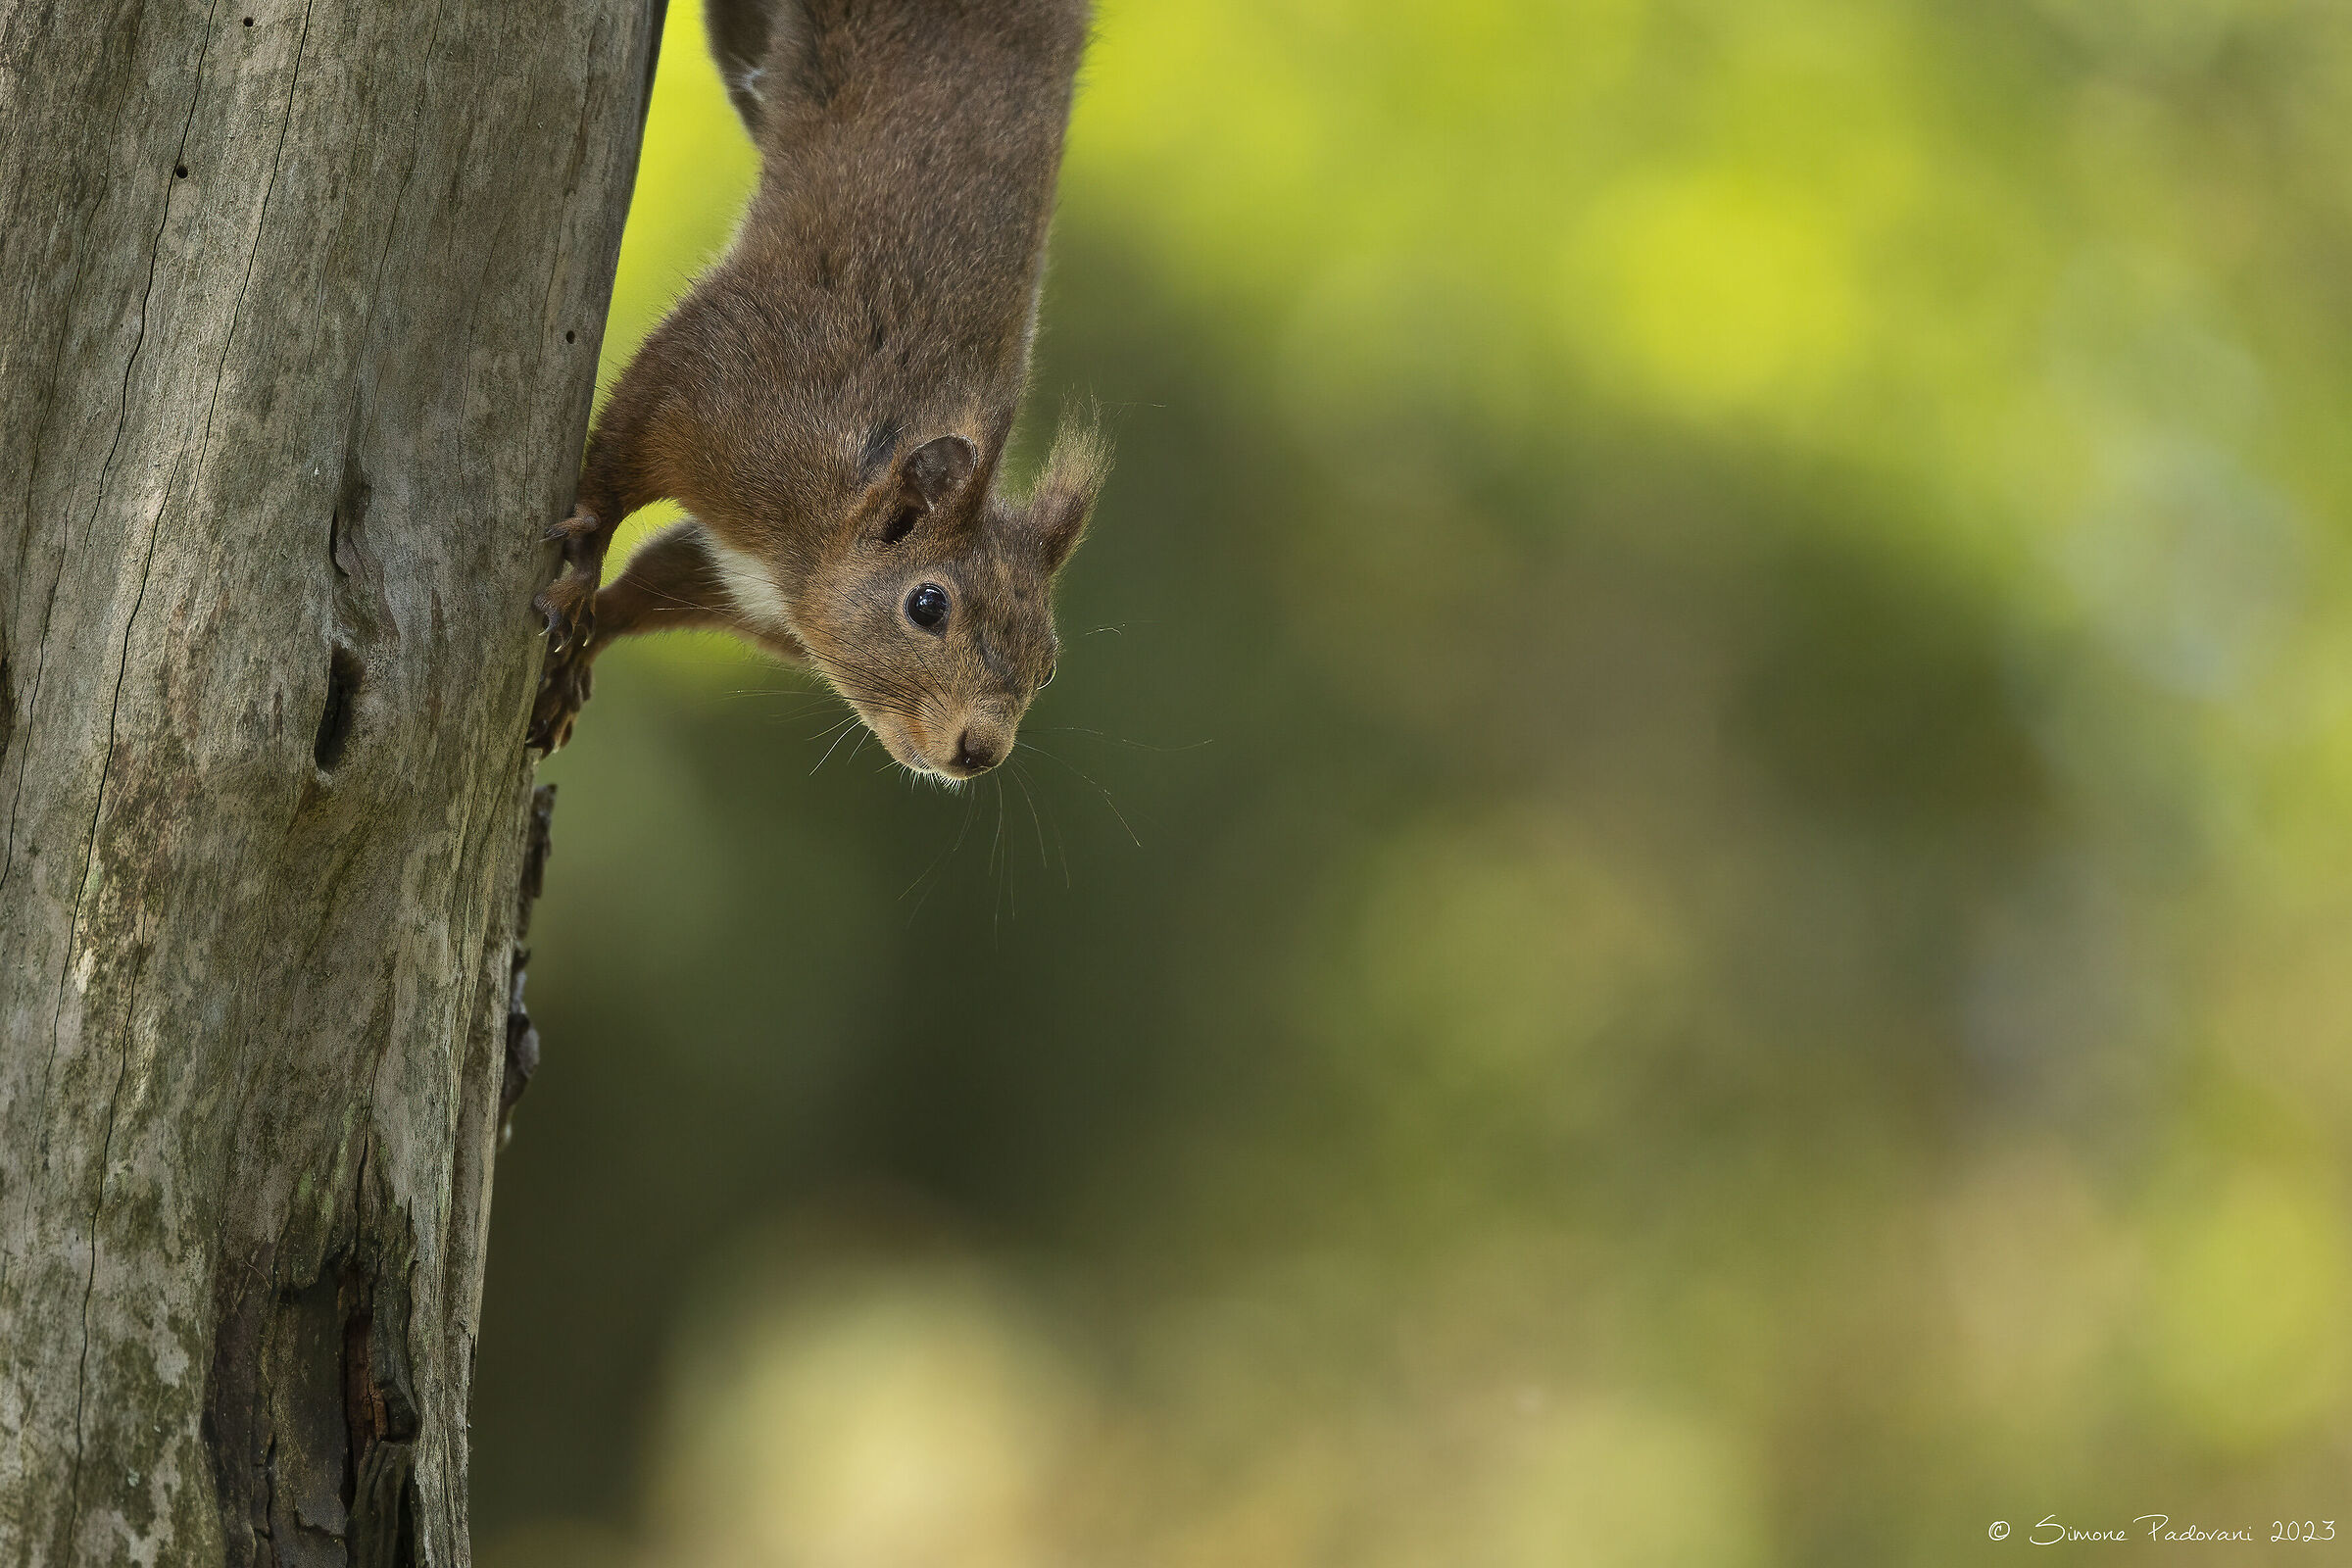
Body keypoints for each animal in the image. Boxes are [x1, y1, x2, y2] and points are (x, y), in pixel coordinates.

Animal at [529, 0, 1107, 780]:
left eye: (1049, 664)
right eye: (927, 605)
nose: (980, 752)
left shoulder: (731, 578)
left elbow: (645, 588)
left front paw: (575, 662)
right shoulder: (719, 378)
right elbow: (616, 464)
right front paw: (579, 573)